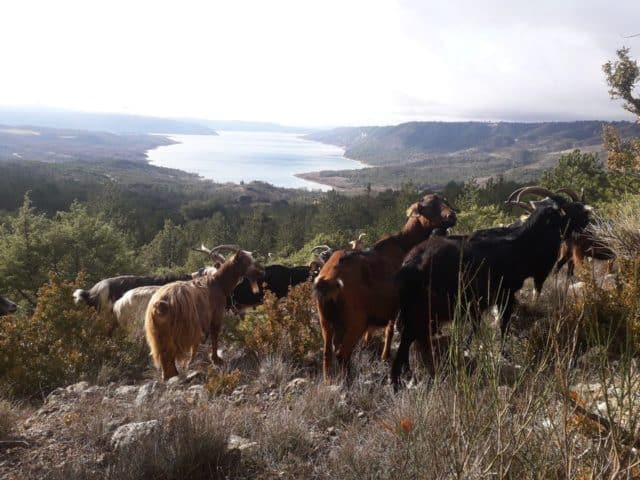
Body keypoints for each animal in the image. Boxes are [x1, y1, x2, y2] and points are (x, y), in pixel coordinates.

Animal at [146, 248, 264, 378]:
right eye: (245, 261)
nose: (260, 273)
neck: (218, 283)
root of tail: (159, 304)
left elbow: (198, 343)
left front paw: (192, 363)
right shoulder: (215, 315)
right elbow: (213, 336)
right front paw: (215, 360)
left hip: (158, 334)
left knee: (164, 354)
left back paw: (169, 375)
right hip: (177, 331)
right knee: (170, 353)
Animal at [312, 193, 458, 380]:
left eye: (444, 201)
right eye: (428, 207)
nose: (452, 216)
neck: (404, 244)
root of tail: (327, 279)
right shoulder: (400, 305)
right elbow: (391, 330)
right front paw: (387, 357)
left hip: (325, 320)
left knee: (327, 353)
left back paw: (328, 381)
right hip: (355, 320)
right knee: (342, 353)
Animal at [392, 201, 572, 388]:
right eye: (558, 214)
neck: (519, 244)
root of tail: (411, 264)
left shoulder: (479, 303)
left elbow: (476, 327)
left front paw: (467, 348)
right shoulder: (505, 294)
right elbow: (503, 325)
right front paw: (504, 353)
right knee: (407, 339)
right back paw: (403, 378)